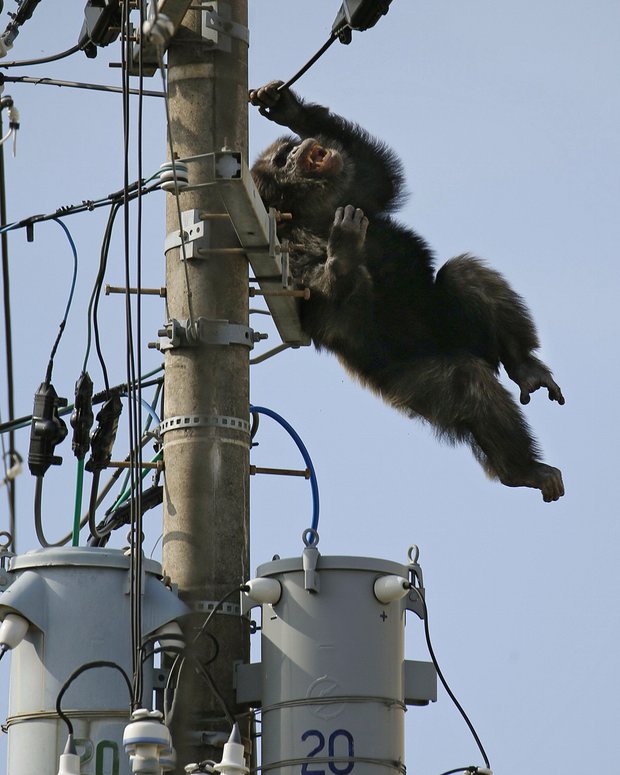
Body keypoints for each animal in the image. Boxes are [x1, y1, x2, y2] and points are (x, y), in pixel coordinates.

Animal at [248, 80, 568, 504]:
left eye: (288, 149)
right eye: (283, 160)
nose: (301, 148)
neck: (309, 212)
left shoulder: (353, 189)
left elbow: (377, 174)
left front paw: (287, 107)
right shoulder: (285, 250)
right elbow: (324, 311)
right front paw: (342, 247)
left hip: (458, 327)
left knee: (464, 273)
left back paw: (524, 366)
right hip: (412, 388)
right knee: (467, 383)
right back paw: (523, 469)